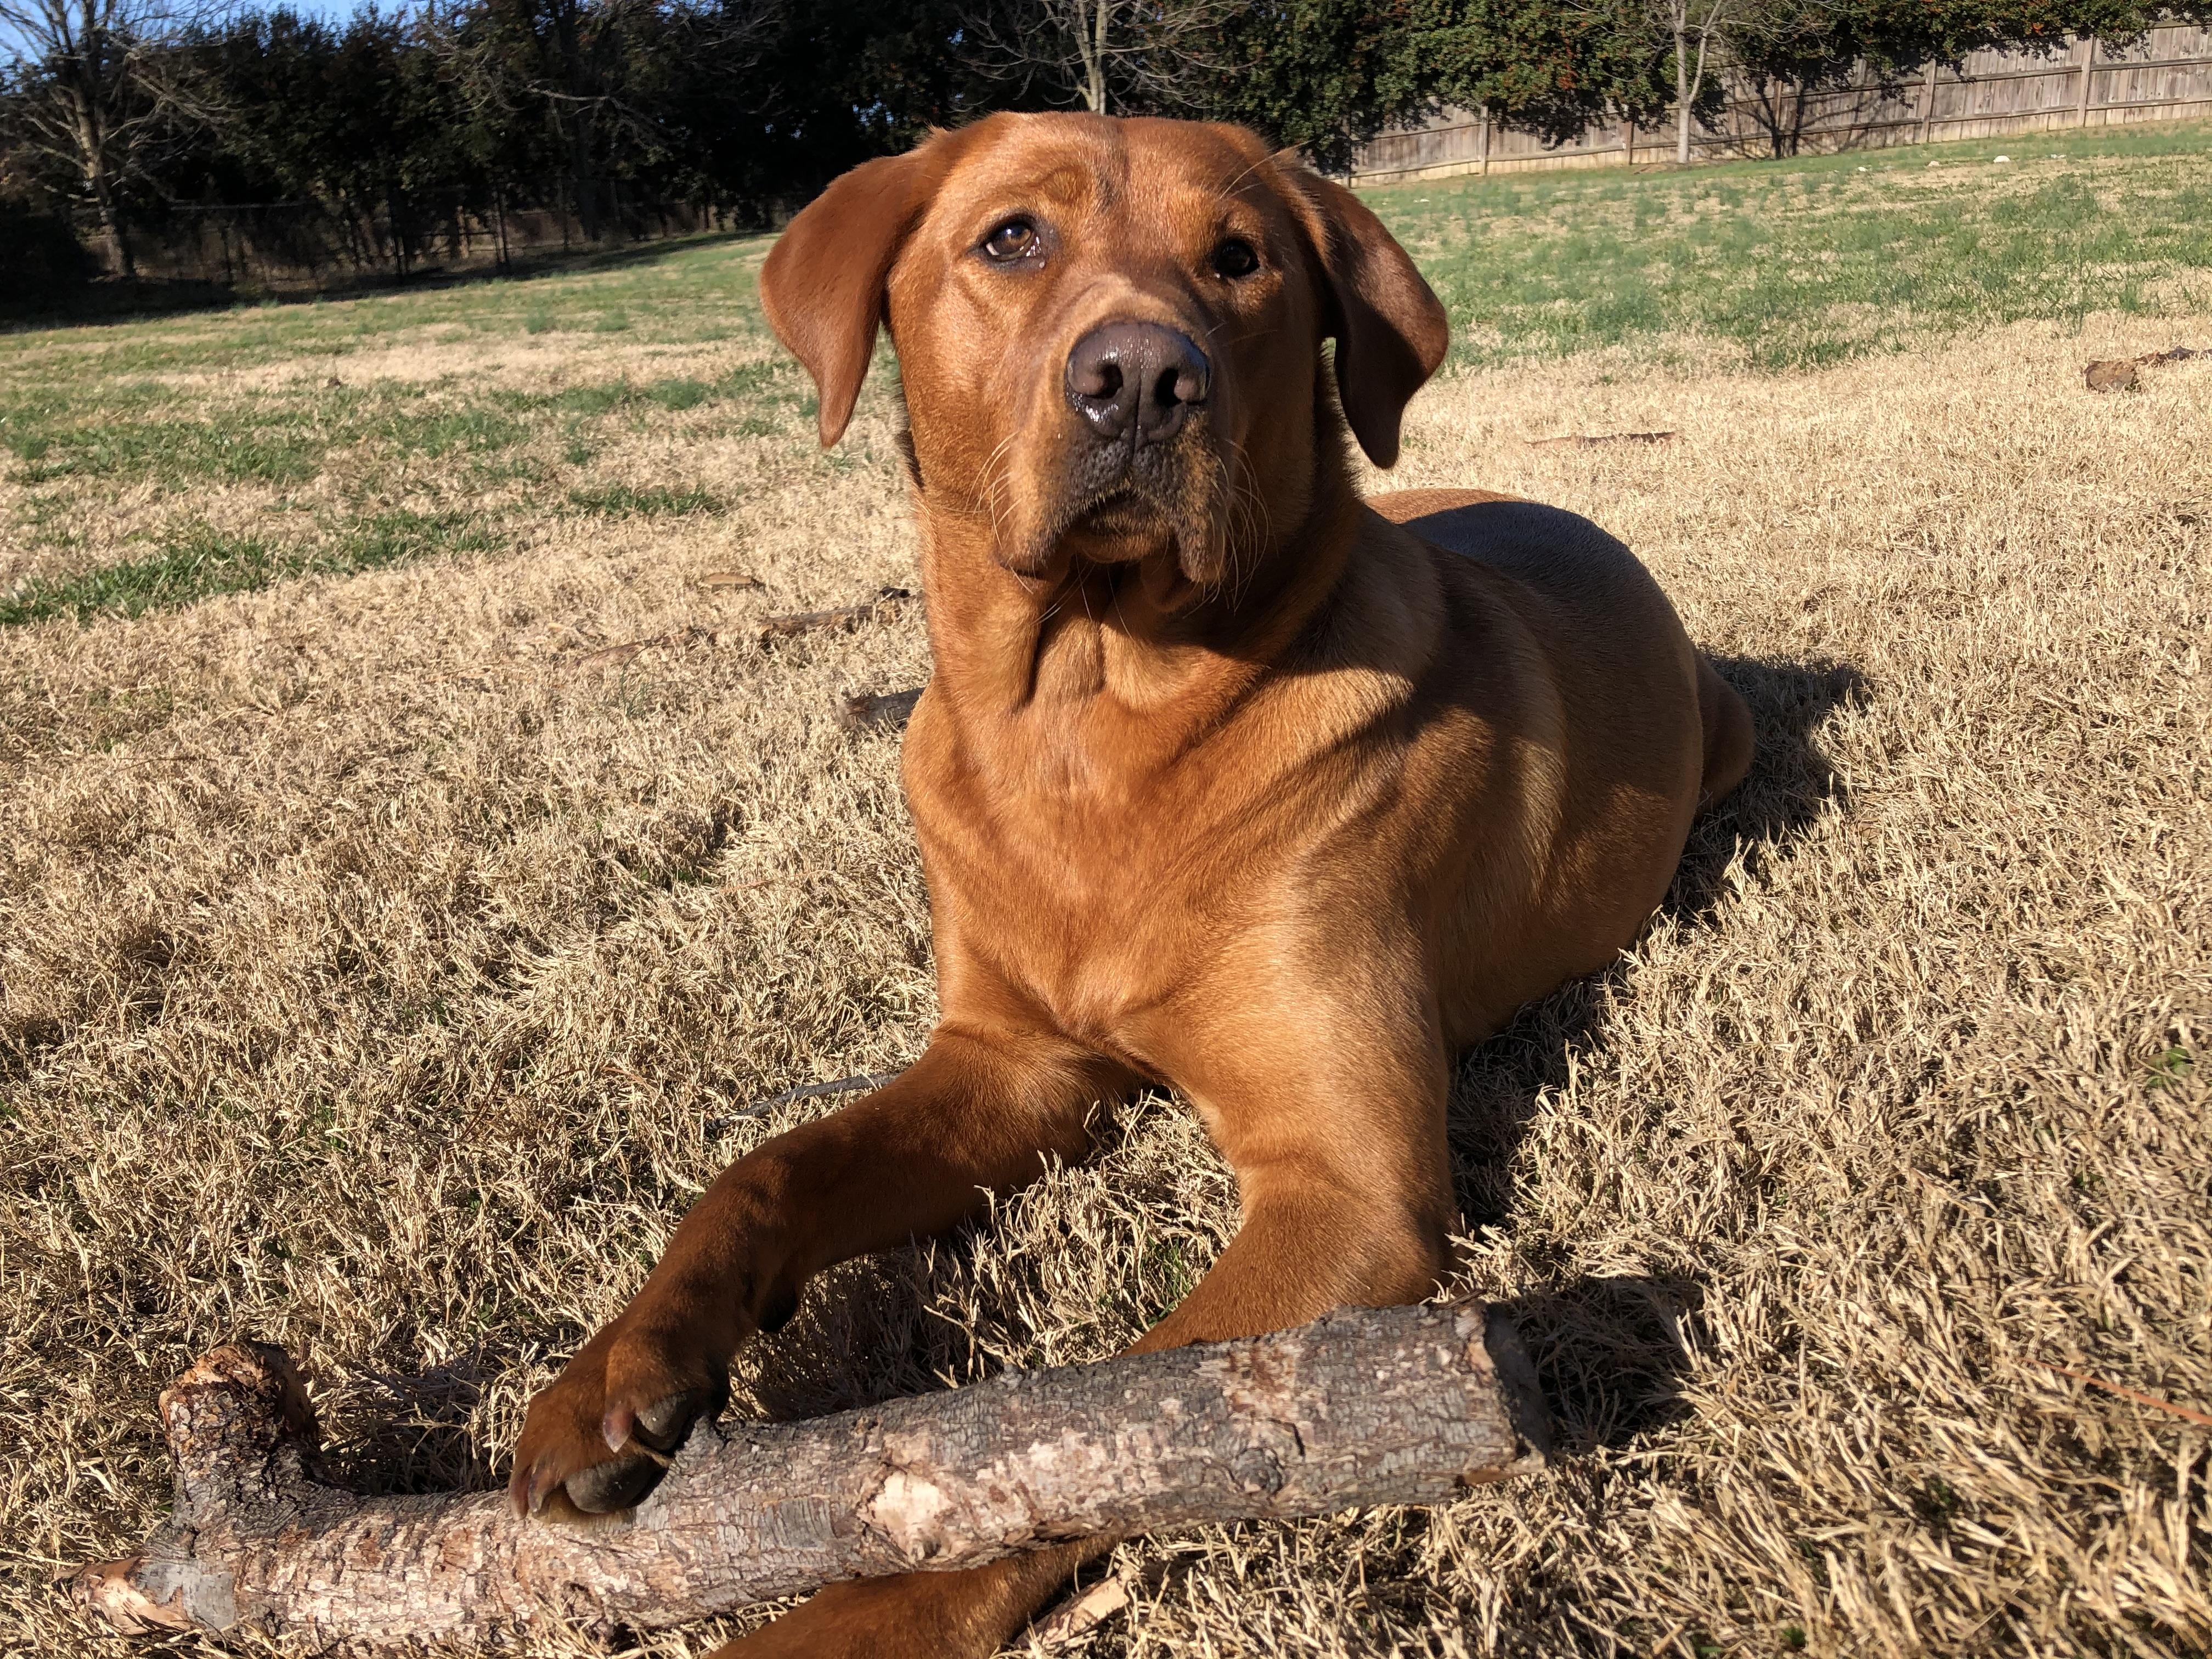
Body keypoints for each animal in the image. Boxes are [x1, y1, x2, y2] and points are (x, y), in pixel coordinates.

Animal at [508, 111, 1753, 1657]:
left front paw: (842, 1616)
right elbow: (768, 1166)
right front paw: (614, 1371)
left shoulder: (1347, 1188)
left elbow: (1080, 1435)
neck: (1089, 719)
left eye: (1241, 259)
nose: (1146, 382)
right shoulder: (1013, 1061)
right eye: (1011, 239)